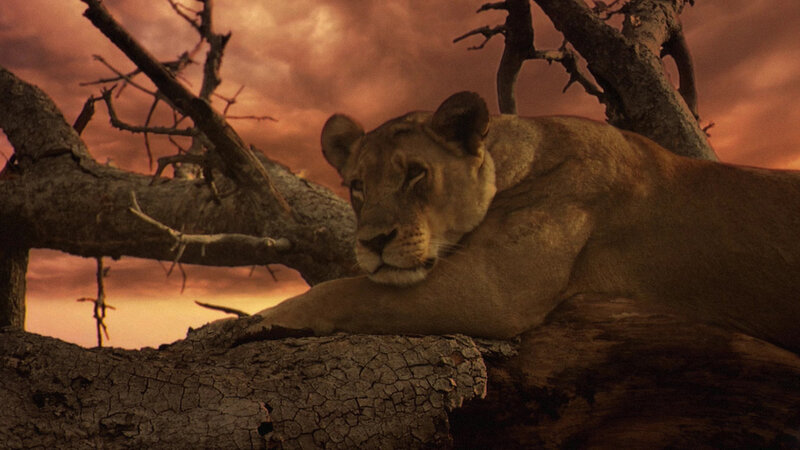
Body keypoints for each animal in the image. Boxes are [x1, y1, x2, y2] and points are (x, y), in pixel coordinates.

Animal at [250, 91, 800, 354]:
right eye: (358, 186)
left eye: (415, 174)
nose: (373, 241)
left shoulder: (494, 290)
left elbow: (349, 290)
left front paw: (264, 318)